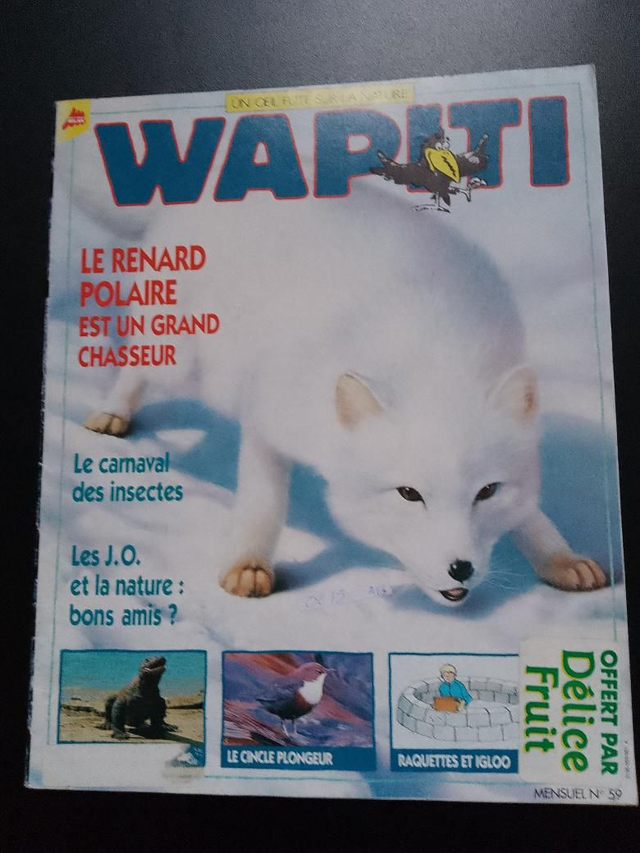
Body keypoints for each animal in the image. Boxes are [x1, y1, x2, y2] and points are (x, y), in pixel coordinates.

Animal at [79, 175, 606, 605]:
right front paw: (249, 563)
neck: (430, 355)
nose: (461, 569)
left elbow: (532, 513)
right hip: (180, 360)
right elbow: (263, 502)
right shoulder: (270, 417)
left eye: (488, 492)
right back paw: (113, 415)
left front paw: (559, 557)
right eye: (409, 494)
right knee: (136, 365)